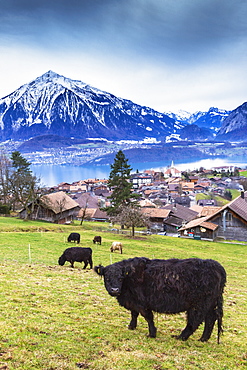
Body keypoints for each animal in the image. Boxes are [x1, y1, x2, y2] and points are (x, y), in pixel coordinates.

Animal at [94, 256, 226, 342]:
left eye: (121, 278)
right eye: (107, 278)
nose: (115, 290)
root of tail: (216, 265)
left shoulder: (142, 303)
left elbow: (148, 317)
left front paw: (152, 334)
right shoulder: (133, 301)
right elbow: (134, 314)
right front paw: (131, 326)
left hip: (198, 305)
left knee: (195, 321)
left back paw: (181, 337)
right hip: (210, 304)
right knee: (210, 319)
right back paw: (203, 339)